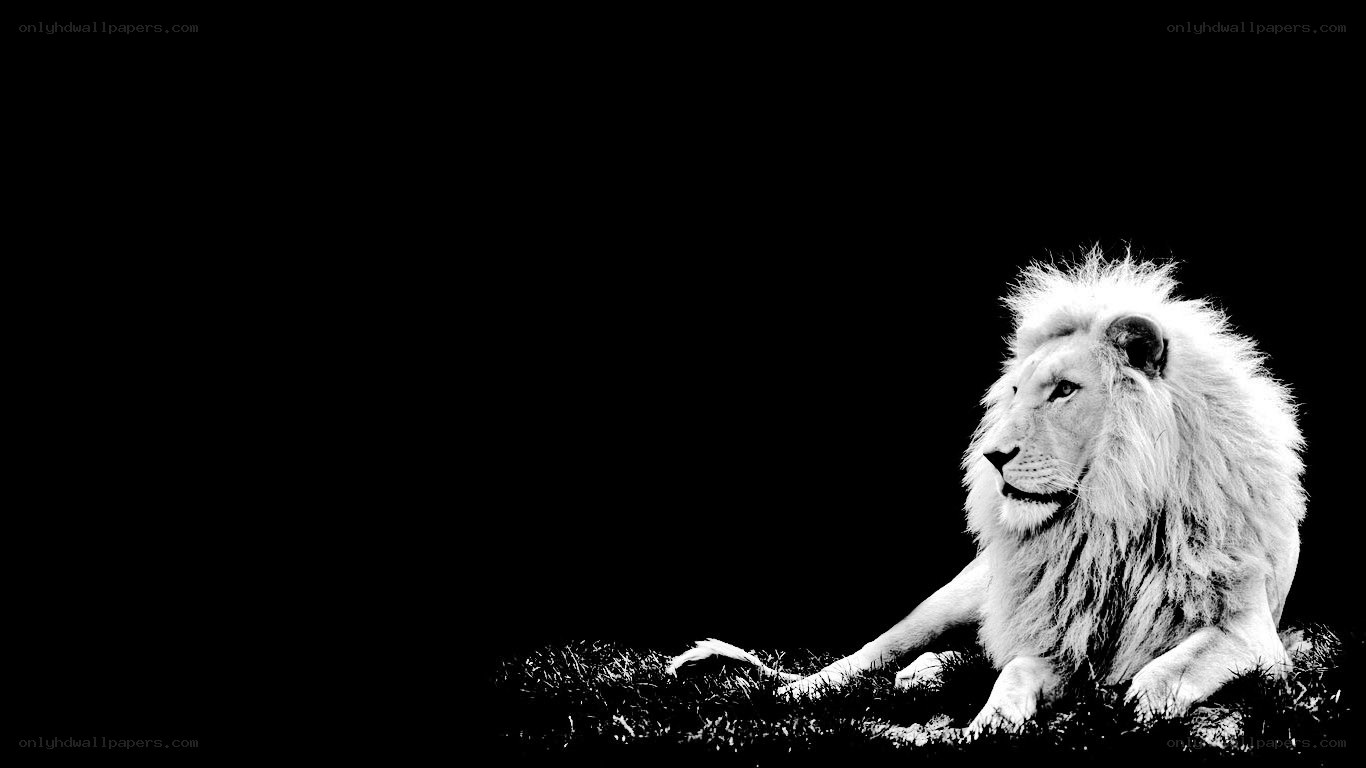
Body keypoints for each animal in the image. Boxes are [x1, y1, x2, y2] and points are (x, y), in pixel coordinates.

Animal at [668, 252, 1306, 733]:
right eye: (1018, 391)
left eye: (1065, 390)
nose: (992, 456)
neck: (1112, 517)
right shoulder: (1054, 634)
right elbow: (1014, 673)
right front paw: (988, 725)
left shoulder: (1251, 634)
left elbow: (1168, 668)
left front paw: (1137, 702)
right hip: (952, 598)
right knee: (865, 658)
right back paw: (806, 689)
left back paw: (923, 674)